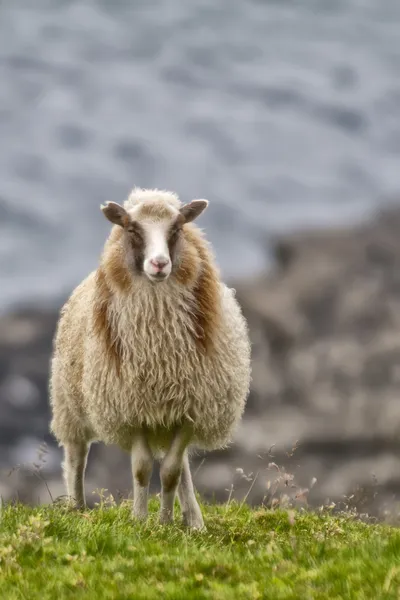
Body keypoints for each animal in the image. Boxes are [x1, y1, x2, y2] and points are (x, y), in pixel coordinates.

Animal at [49, 188, 250, 528]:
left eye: (177, 228)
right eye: (132, 229)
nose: (159, 264)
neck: (159, 352)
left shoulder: (188, 410)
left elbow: (171, 472)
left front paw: (166, 522)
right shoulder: (133, 408)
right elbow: (141, 468)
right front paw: (140, 520)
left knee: (181, 468)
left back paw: (193, 520)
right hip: (68, 402)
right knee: (76, 455)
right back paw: (76, 507)